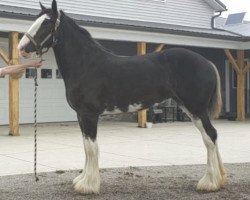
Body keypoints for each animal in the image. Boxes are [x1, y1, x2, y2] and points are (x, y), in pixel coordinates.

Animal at [18, 0, 225, 194]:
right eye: (36, 19)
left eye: (47, 22)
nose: (22, 48)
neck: (86, 64)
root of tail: (207, 62)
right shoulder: (81, 115)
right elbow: (86, 146)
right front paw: (82, 180)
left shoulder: (89, 114)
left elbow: (91, 147)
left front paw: (88, 185)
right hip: (189, 108)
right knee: (211, 137)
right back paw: (218, 179)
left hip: (196, 109)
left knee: (210, 136)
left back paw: (209, 183)